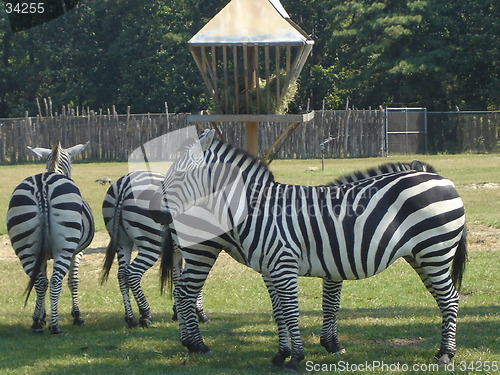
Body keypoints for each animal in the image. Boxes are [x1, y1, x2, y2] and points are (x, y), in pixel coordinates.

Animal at [6, 141, 94, 334]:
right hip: (65, 248)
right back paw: (55, 326)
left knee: (39, 282)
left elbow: (42, 279)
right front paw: (76, 315)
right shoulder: (77, 253)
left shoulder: (43, 255)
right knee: (54, 281)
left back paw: (36, 324)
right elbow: (73, 281)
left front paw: (40, 316)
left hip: (25, 248)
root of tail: (42, 185)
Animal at [99, 171, 209, 328]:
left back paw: (130, 319)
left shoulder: (178, 252)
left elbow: (178, 278)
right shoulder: (197, 248)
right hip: (151, 243)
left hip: (122, 241)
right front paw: (200, 313)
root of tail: (124, 184)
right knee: (132, 273)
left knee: (121, 274)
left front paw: (178, 312)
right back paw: (145, 315)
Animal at [149, 130, 468, 374]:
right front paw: (282, 355)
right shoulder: (271, 269)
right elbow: (281, 313)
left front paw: (297, 358)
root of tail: (441, 179)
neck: (256, 209)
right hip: (422, 256)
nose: (157, 215)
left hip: (434, 252)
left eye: (179, 174)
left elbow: (295, 311)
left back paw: (445, 354)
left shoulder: (286, 265)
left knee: (450, 299)